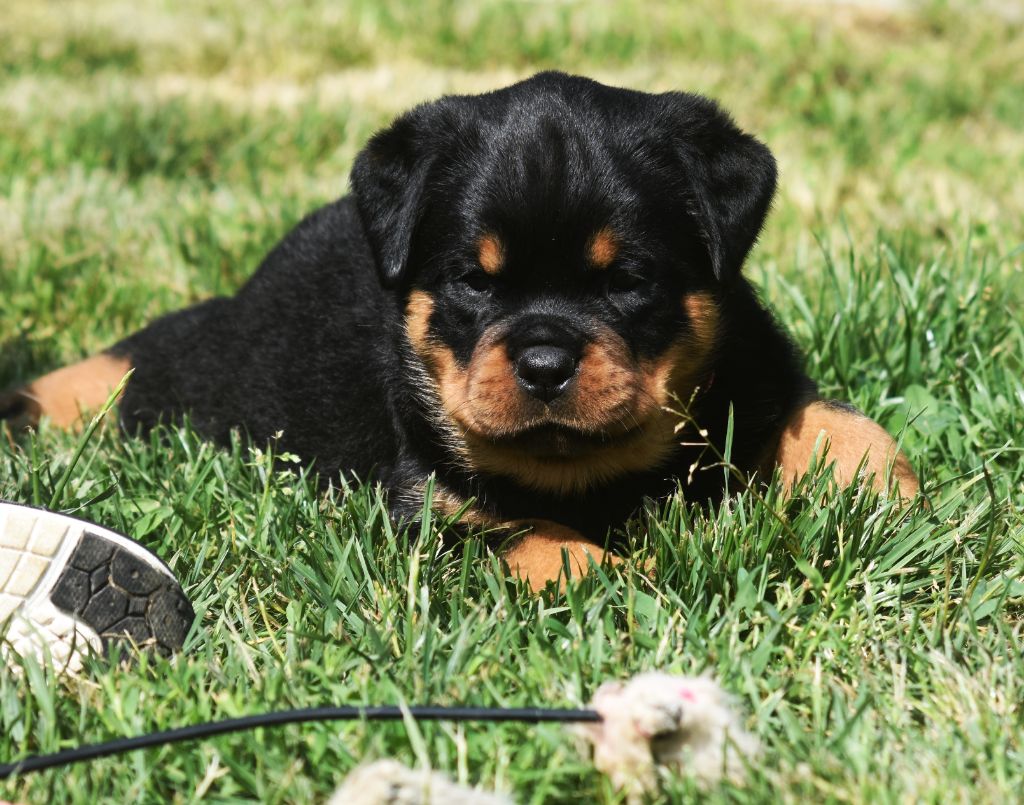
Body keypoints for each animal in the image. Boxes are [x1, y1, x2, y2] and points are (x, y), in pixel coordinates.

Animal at [0, 72, 919, 590]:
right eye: (474, 281)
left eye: (627, 281)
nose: (544, 361)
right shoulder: (431, 500)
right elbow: (535, 535)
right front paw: (623, 585)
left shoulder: (759, 369)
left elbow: (840, 422)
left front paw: (889, 500)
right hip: (204, 376)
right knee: (129, 365)